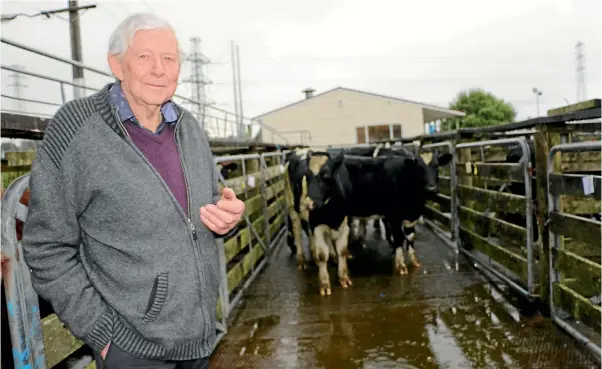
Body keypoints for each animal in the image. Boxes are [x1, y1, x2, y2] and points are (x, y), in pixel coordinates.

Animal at [304, 149, 450, 274]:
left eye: (437, 167)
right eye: (419, 168)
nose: (431, 188)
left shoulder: (410, 216)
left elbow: (410, 236)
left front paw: (415, 261)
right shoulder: (394, 216)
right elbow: (399, 238)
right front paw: (400, 265)